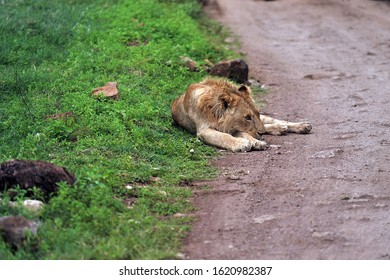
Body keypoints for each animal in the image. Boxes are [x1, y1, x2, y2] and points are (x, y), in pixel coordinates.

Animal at [171, 77, 310, 152]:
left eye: (257, 113)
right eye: (247, 118)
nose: (262, 133)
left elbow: (245, 134)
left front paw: (256, 143)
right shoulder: (204, 130)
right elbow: (224, 136)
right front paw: (242, 144)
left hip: (267, 120)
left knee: (274, 121)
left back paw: (300, 126)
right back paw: (279, 129)